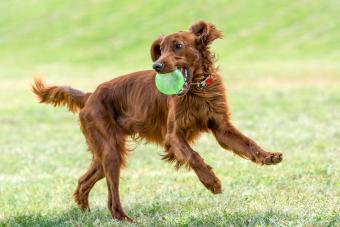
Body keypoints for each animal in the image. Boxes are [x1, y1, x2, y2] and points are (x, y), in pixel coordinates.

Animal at [31, 20, 282, 221]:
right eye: (160, 50)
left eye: (178, 46)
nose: (157, 65)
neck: (196, 91)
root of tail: (90, 95)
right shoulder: (173, 135)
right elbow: (194, 156)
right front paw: (211, 182)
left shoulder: (221, 128)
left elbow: (248, 143)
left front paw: (268, 156)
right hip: (110, 152)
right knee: (112, 196)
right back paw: (124, 218)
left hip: (105, 154)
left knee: (85, 181)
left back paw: (86, 213)